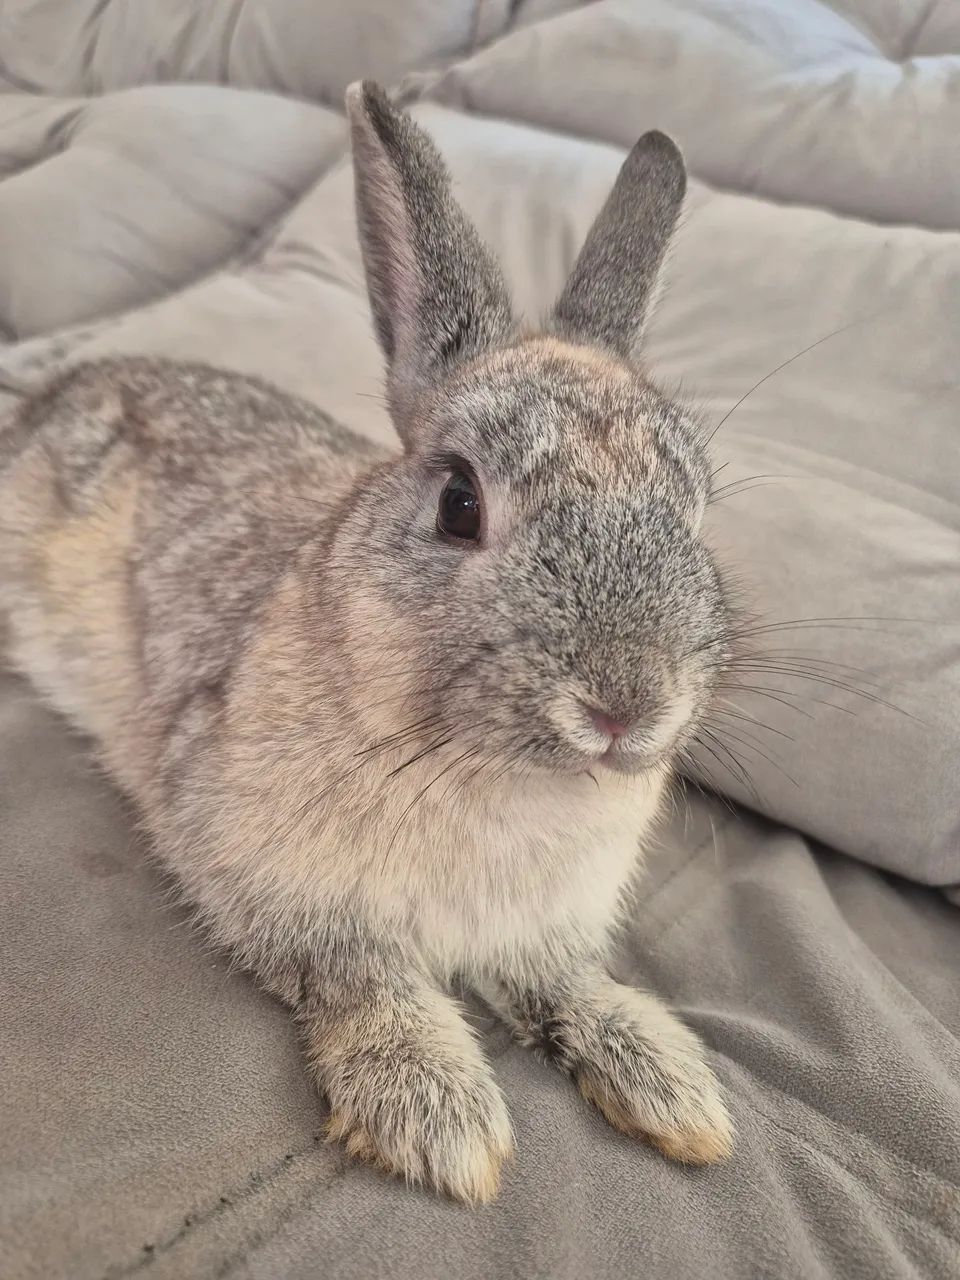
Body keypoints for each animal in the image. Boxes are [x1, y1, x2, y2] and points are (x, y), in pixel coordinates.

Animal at [0, 81, 733, 1203]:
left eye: (697, 510)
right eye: (460, 502)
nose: (627, 702)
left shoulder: (543, 933)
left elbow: (563, 983)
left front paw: (670, 1086)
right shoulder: (265, 875)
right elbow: (363, 977)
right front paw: (438, 1115)